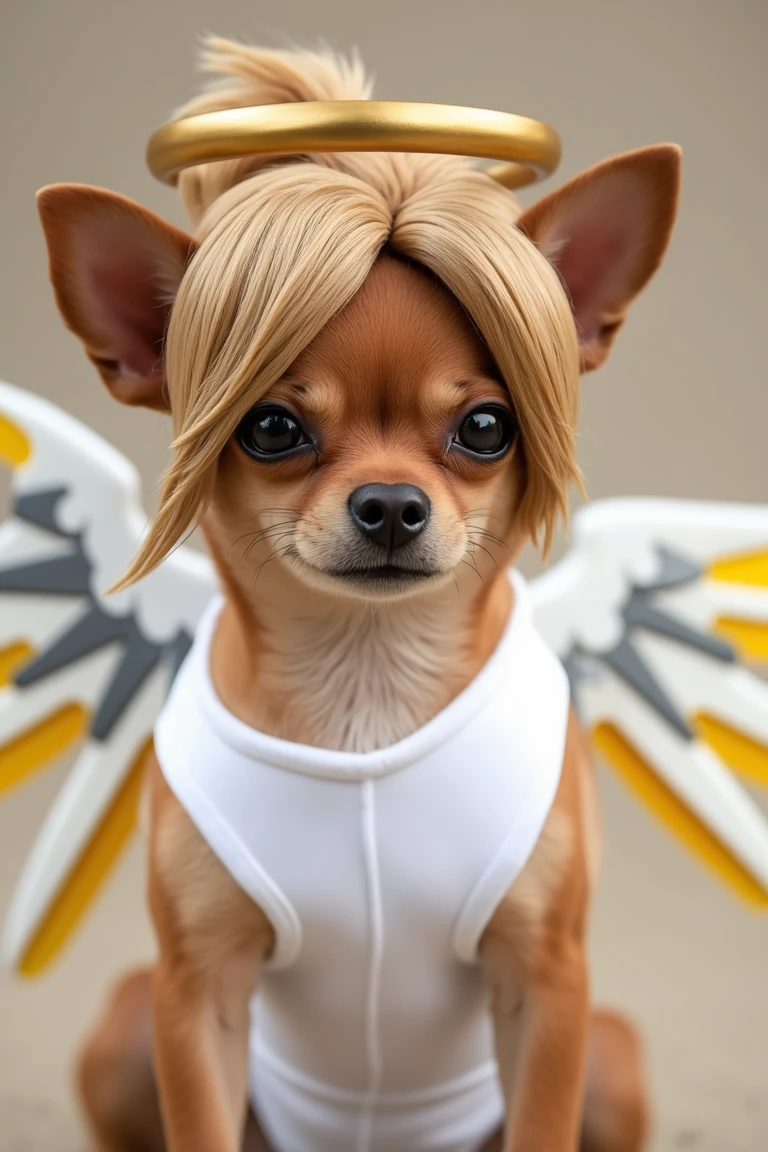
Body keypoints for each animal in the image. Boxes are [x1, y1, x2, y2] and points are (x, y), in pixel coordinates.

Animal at [34, 36, 677, 1152]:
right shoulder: (194, 994)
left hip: (613, 1059)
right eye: (270, 428)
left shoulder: (548, 987)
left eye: (486, 428)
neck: (367, 687)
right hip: (121, 1035)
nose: (388, 504)